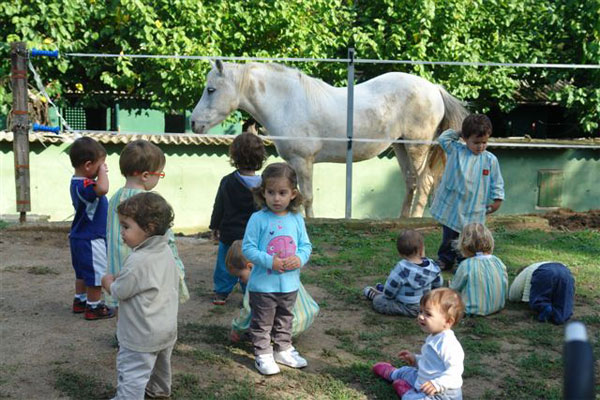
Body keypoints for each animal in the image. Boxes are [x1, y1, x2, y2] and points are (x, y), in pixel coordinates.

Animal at [190, 61, 466, 219]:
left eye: (211, 90)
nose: (194, 123)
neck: (288, 102)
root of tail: (434, 89)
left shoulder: (303, 161)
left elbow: (307, 196)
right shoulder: (293, 164)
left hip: (417, 147)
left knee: (425, 182)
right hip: (401, 147)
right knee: (411, 182)